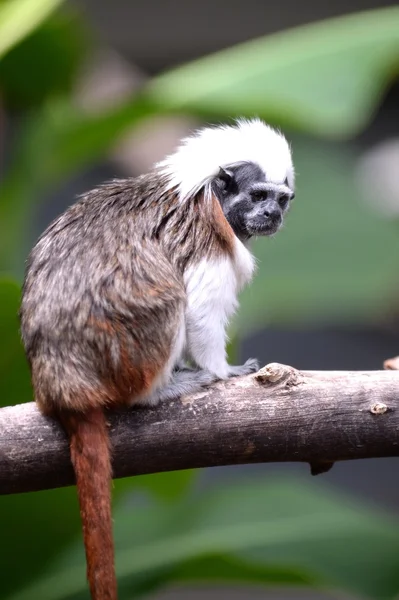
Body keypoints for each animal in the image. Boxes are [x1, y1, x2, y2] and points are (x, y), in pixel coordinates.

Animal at [19, 118, 294, 600]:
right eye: (259, 195)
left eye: (281, 199)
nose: (272, 216)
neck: (208, 195)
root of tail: (64, 384)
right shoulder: (206, 238)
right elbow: (199, 308)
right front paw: (222, 371)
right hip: (125, 350)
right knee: (169, 299)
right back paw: (159, 390)